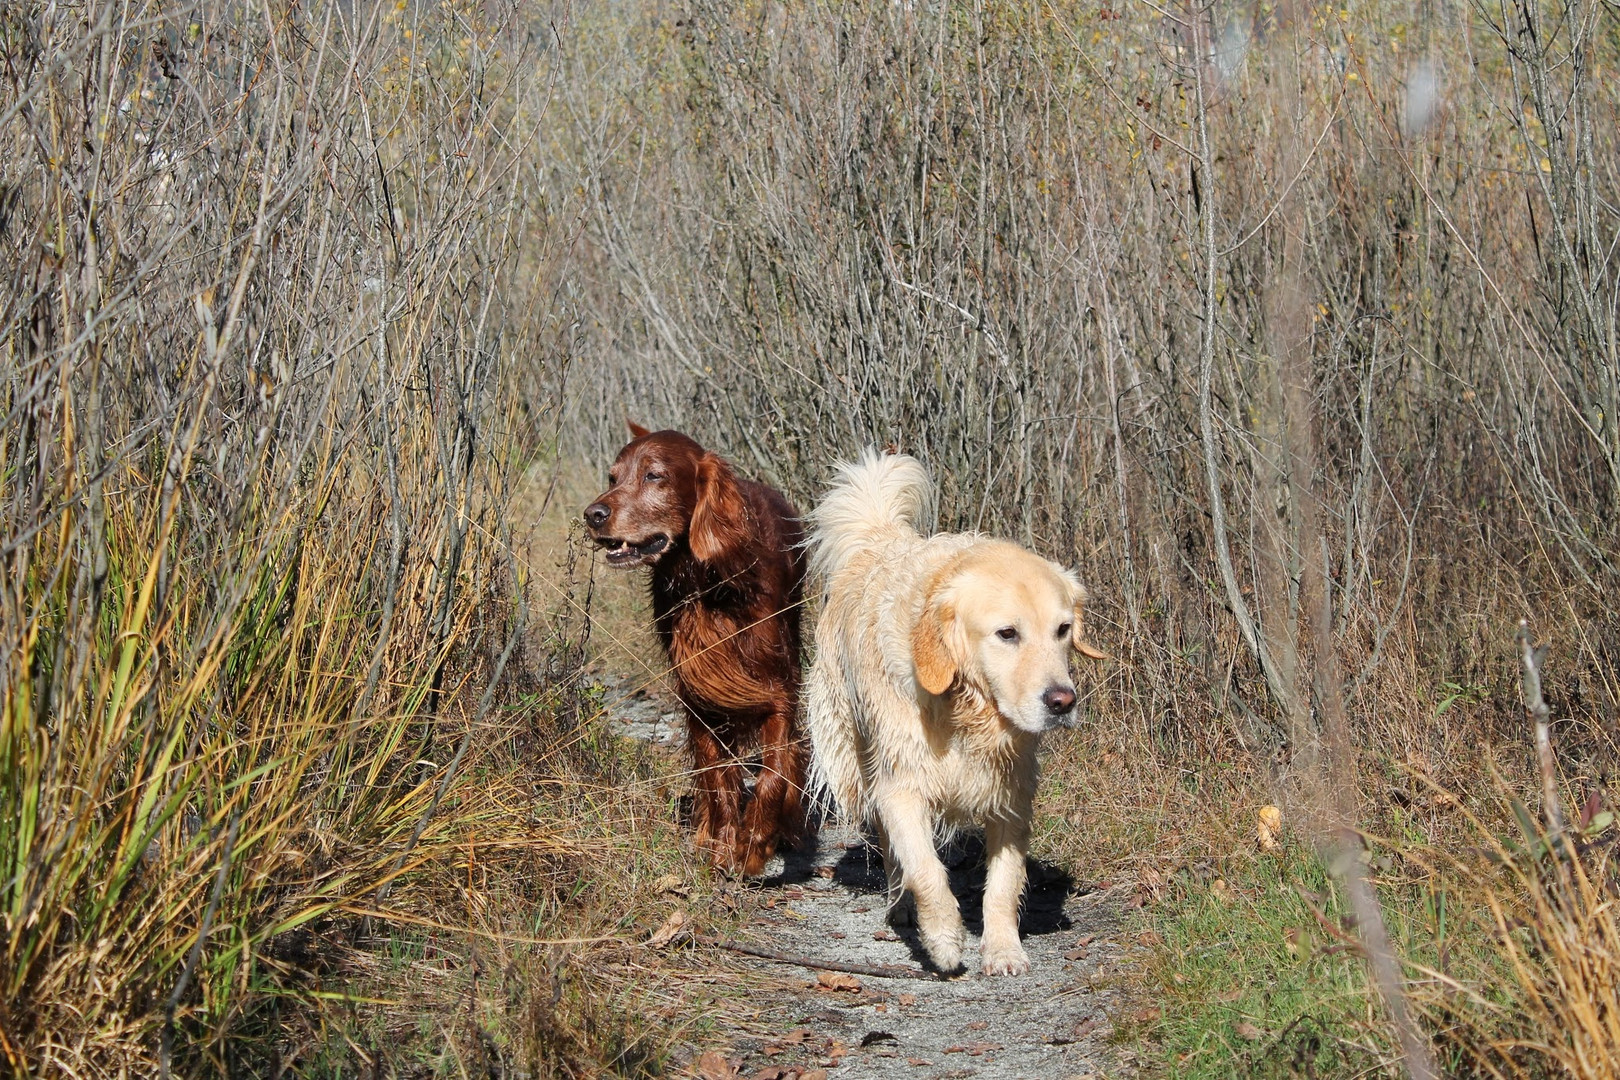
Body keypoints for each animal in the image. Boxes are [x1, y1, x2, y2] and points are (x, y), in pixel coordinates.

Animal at [583, 424, 810, 880]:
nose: (593, 515)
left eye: (654, 476)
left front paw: (755, 846)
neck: (709, 582)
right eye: (612, 477)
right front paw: (722, 846)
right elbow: (717, 779)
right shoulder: (700, 696)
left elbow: (775, 774)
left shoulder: (777, 691)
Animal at [806, 453, 1108, 977]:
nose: (1062, 702)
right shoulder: (901, 786)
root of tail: (881, 538)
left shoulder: (1012, 795)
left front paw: (1004, 949)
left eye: (1064, 629)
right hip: (857, 759)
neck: (965, 710)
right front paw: (945, 937)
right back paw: (900, 906)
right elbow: (926, 869)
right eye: (1007, 633)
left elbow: (1004, 884)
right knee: (891, 849)